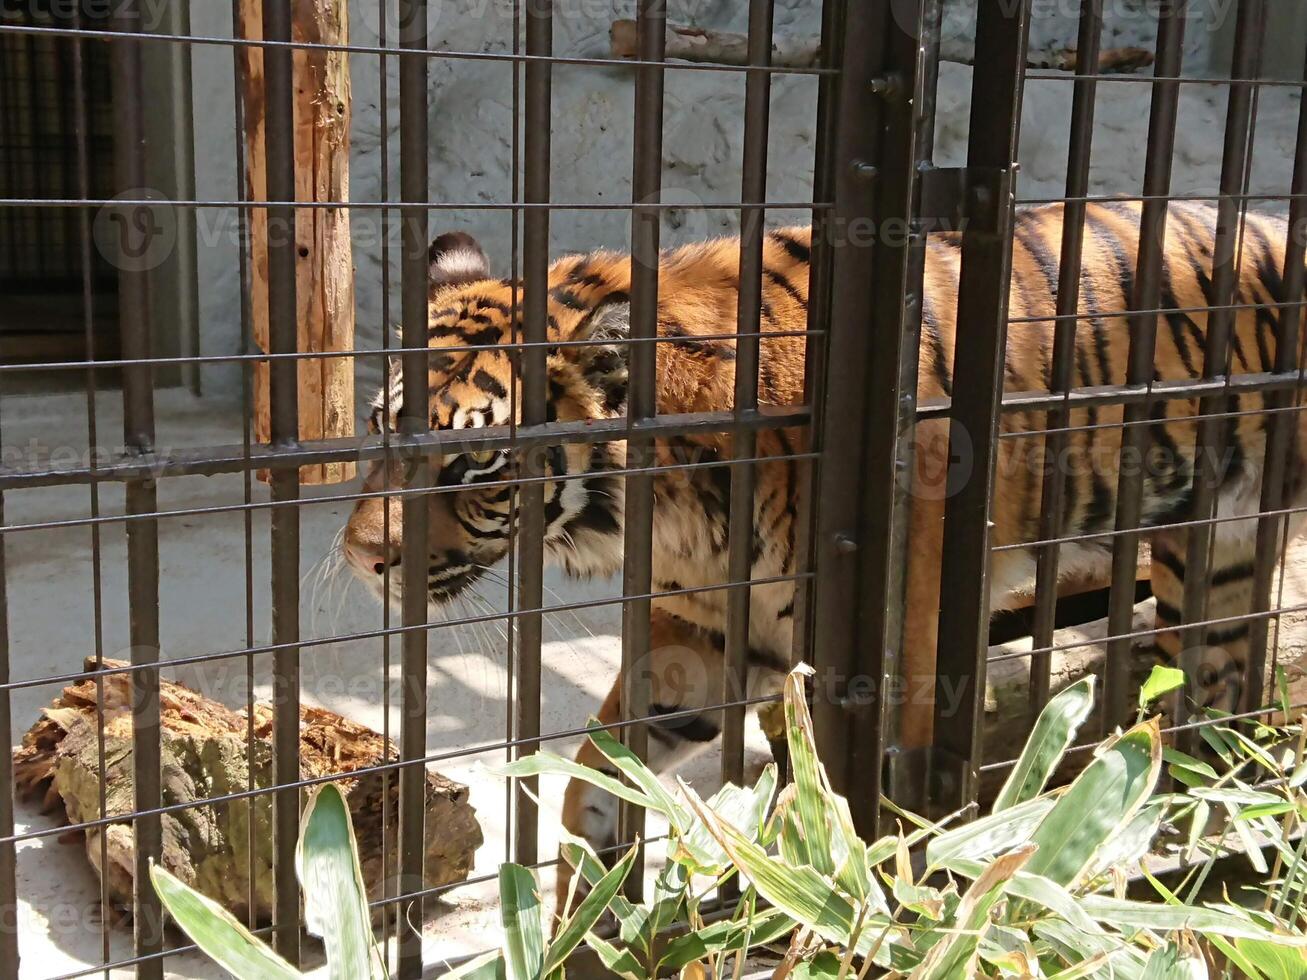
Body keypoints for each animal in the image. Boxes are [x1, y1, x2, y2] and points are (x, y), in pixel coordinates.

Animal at [342, 203, 1307, 919]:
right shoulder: (700, 636)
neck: (670, 497)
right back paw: (1207, 820)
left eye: (475, 464)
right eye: (383, 425)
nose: (360, 559)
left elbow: (873, 802)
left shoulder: (895, 643)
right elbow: (596, 781)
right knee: (1218, 686)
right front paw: (588, 923)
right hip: (1213, 551)